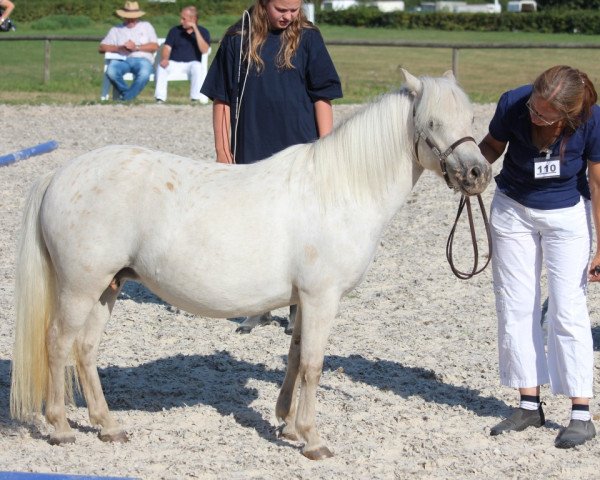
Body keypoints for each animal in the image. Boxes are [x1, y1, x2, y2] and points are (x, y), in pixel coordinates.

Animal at [11, 69, 492, 460]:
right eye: (431, 123)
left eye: (471, 119)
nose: (477, 174)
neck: (339, 190)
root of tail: (57, 175)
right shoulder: (322, 297)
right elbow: (314, 364)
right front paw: (313, 440)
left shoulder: (304, 300)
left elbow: (295, 357)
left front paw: (288, 425)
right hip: (80, 287)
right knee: (57, 344)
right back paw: (60, 429)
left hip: (109, 286)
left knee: (85, 349)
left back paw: (109, 427)